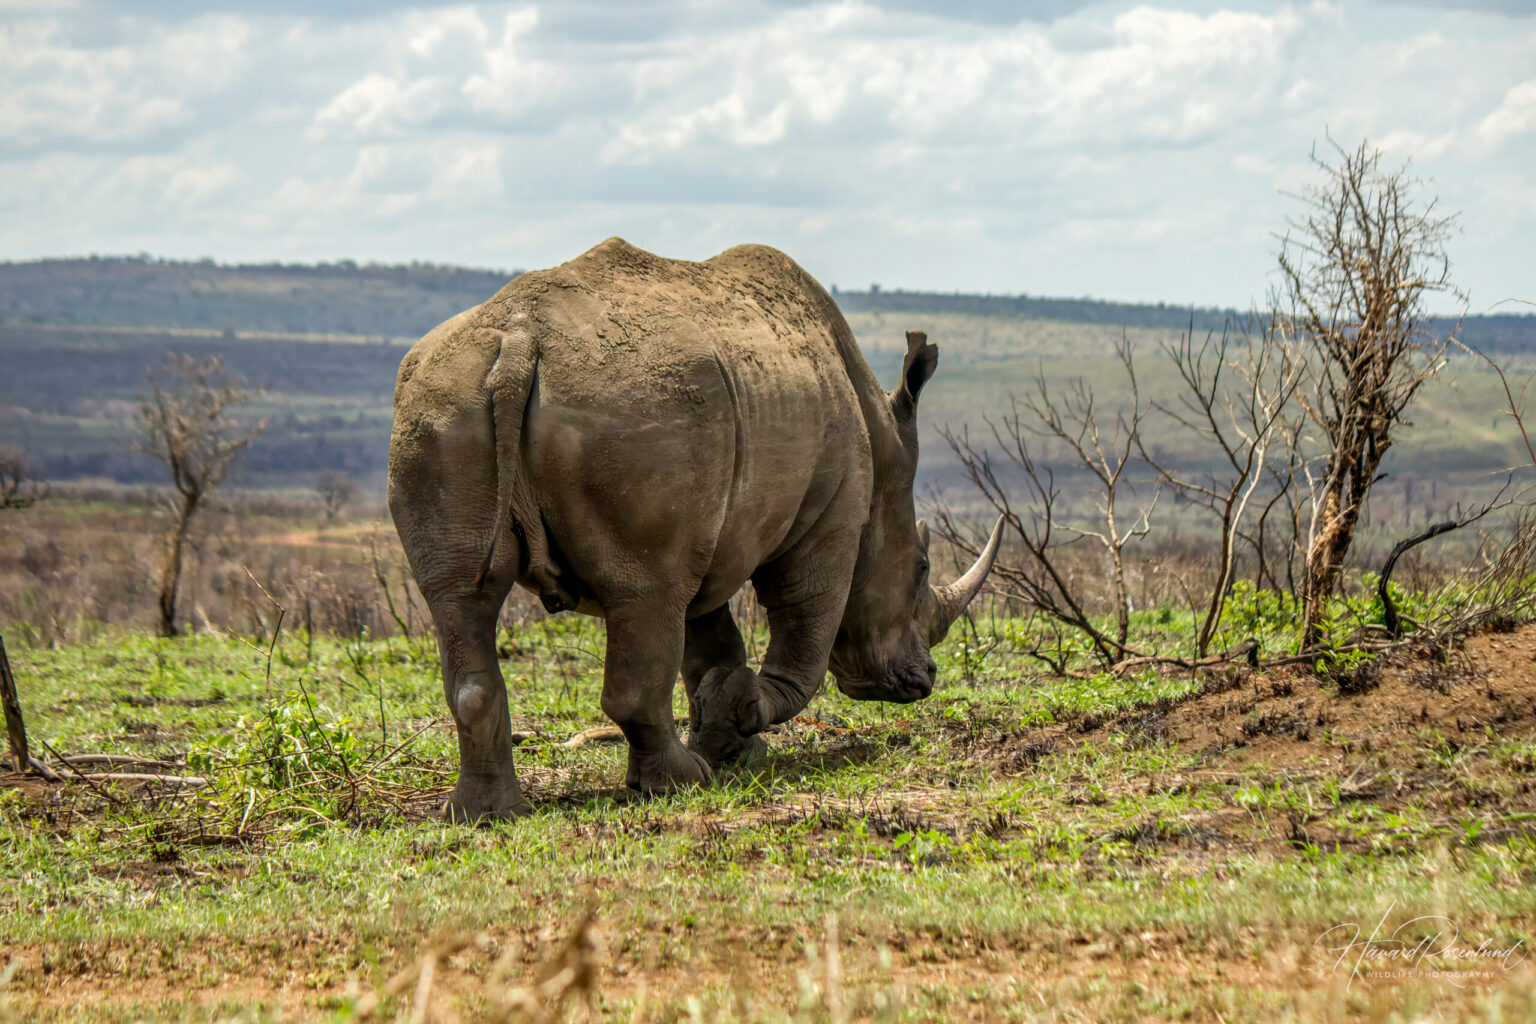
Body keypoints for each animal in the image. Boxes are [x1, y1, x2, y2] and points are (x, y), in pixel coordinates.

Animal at [388, 238, 1003, 820]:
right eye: (921, 568)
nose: (922, 680)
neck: (882, 440)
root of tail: (518, 345)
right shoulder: (833, 513)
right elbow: (802, 627)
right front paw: (740, 716)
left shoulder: (711, 532)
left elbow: (709, 637)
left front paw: (728, 735)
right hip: (639, 413)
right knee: (646, 593)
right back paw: (679, 784)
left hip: (442, 407)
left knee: (461, 599)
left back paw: (484, 814)